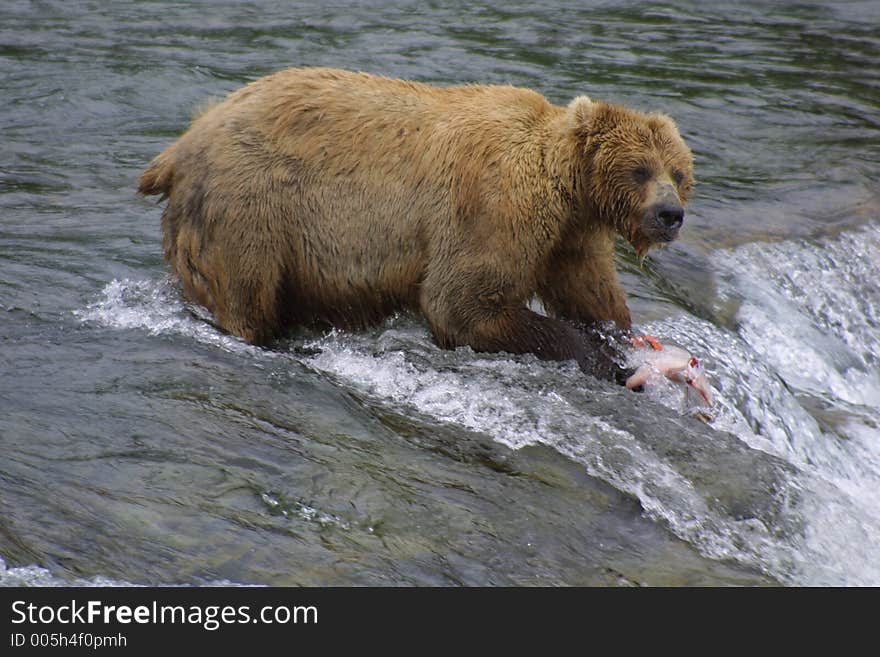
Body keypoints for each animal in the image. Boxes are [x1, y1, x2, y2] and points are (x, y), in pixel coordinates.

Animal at [138, 65, 692, 384]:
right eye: (640, 169)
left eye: (679, 172)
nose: (670, 215)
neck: (568, 187)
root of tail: (179, 146)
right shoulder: (495, 206)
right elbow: (462, 302)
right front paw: (598, 356)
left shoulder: (570, 235)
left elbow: (590, 293)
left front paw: (621, 337)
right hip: (250, 205)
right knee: (246, 289)